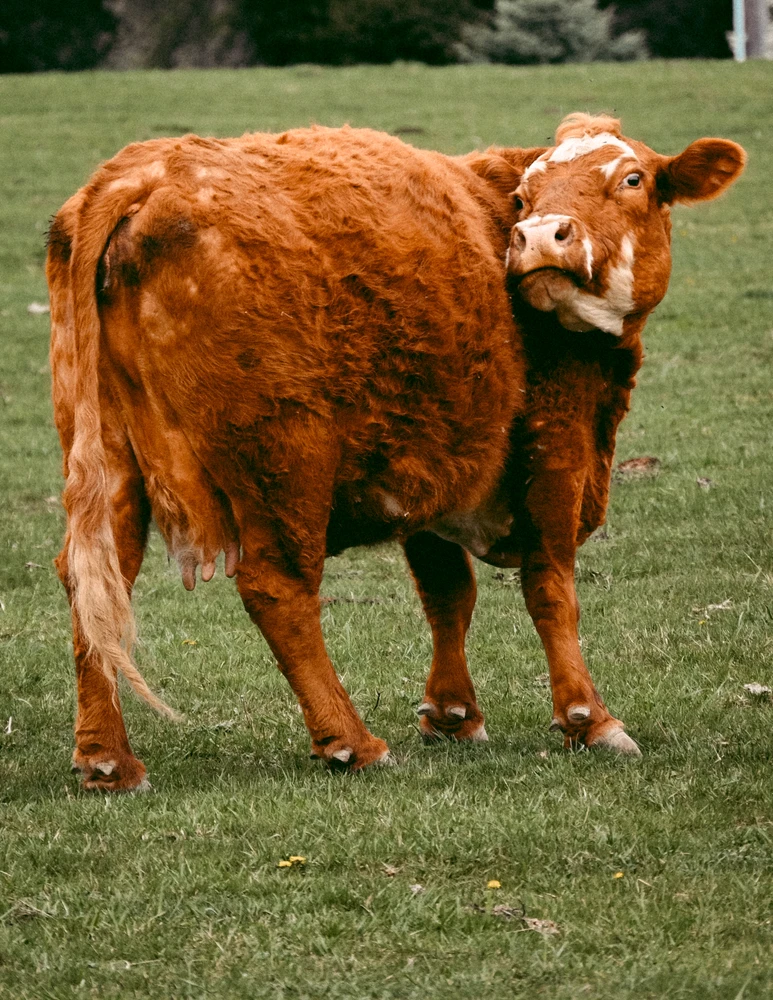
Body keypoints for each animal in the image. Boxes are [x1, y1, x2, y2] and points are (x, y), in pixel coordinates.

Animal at [46, 114, 745, 791]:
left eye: (632, 179)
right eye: (525, 198)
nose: (540, 237)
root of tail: (143, 170)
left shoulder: (430, 464)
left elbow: (448, 593)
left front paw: (453, 713)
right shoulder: (557, 444)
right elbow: (550, 586)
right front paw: (587, 719)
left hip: (108, 460)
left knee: (96, 580)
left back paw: (107, 760)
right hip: (284, 459)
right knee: (278, 588)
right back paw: (350, 743)